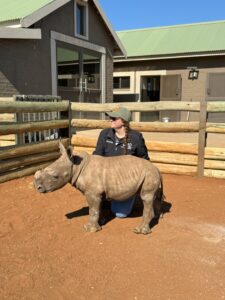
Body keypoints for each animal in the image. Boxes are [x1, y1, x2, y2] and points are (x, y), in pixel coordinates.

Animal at [33, 141, 163, 234]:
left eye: (55, 176)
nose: (37, 188)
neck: (75, 166)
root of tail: (157, 169)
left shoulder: (92, 192)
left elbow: (92, 210)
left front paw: (89, 229)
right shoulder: (97, 193)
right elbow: (97, 208)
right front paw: (101, 222)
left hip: (149, 175)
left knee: (146, 197)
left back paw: (140, 231)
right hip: (149, 175)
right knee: (154, 198)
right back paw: (158, 217)